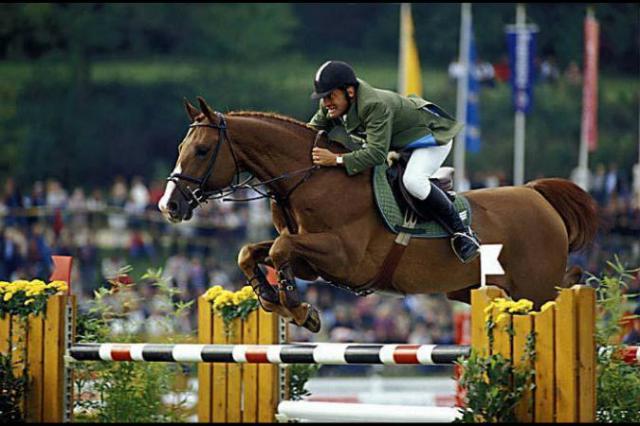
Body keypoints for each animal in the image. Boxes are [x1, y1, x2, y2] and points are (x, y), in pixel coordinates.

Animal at [158, 97, 599, 332]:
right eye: (180, 147)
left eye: (201, 150)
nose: (169, 205)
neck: (307, 179)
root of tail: (536, 194)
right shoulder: (311, 263)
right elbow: (252, 251)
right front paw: (272, 297)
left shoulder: (344, 257)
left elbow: (280, 249)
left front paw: (299, 309)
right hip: (477, 288)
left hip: (534, 290)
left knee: (558, 291)